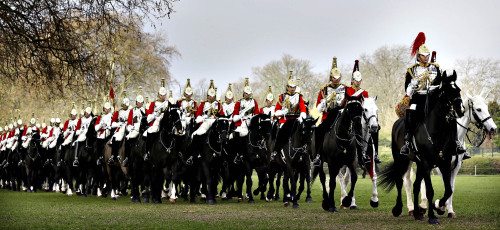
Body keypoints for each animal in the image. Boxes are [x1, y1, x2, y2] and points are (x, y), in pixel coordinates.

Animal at [380, 70, 466, 225]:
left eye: (458, 89)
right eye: (446, 91)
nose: (460, 109)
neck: (436, 132)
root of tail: (398, 122)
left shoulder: (444, 163)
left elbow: (448, 190)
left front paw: (439, 206)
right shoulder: (427, 164)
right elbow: (430, 190)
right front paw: (432, 216)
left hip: (419, 164)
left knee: (415, 186)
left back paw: (417, 213)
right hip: (401, 160)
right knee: (400, 181)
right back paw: (398, 209)